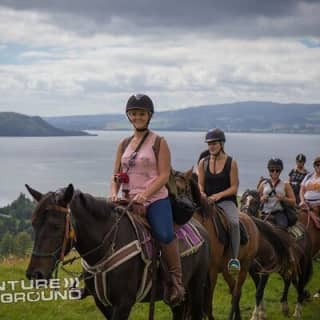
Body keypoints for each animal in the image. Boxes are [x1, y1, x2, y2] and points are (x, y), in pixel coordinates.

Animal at [25, 185, 212, 320]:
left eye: (56, 226)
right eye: (33, 223)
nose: (35, 274)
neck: (107, 246)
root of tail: (203, 231)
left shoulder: (123, 304)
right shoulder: (103, 303)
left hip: (196, 288)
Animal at [240, 189, 312, 318]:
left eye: (255, 202)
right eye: (242, 200)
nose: (245, 216)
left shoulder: (266, 271)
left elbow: (259, 292)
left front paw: (255, 315)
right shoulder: (253, 271)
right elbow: (259, 290)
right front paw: (262, 313)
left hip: (304, 263)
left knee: (301, 284)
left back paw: (297, 311)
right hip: (284, 267)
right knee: (288, 280)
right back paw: (284, 306)